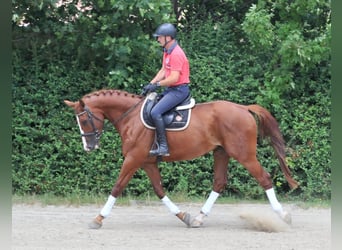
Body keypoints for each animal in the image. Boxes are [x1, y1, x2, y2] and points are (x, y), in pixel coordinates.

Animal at [63, 88, 296, 229]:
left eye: (84, 120)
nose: (89, 146)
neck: (131, 117)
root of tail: (243, 108)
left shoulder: (133, 159)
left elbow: (117, 187)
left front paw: (98, 218)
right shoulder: (147, 162)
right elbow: (159, 190)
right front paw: (184, 216)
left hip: (244, 155)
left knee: (264, 178)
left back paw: (284, 216)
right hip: (221, 153)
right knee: (219, 183)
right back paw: (200, 218)